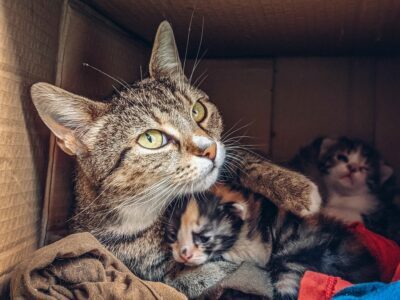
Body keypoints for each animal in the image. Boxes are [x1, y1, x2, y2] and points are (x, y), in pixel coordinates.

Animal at [29, 21, 322, 298]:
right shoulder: (149, 270)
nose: (209, 149)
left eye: (198, 110)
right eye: (151, 139)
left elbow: (244, 162)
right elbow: (189, 279)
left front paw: (298, 190)